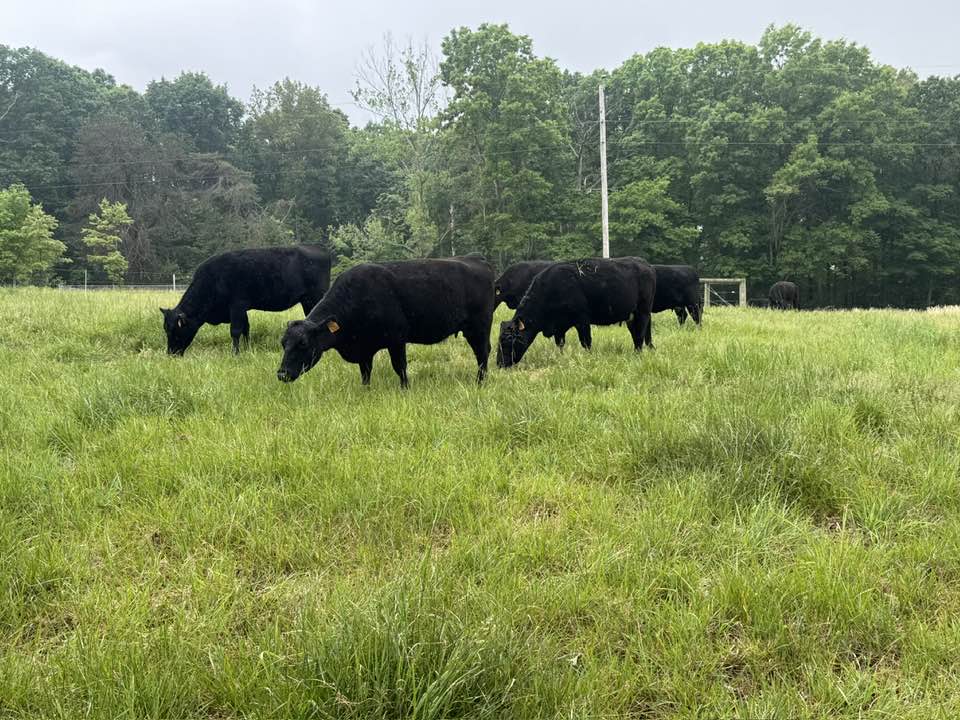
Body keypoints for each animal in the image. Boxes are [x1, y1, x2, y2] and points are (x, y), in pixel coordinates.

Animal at [161, 245, 331, 355]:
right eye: (166, 329)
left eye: (175, 331)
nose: (171, 353)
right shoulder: (242, 309)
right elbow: (246, 328)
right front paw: (248, 349)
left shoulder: (237, 305)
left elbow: (236, 330)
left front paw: (235, 353)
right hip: (307, 300)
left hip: (317, 296)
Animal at [277, 256, 495, 388]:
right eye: (283, 343)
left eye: (303, 343)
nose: (281, 374)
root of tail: (476, 259)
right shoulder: (364, 348)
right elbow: (365, 371)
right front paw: (365, 390)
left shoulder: (396, 338)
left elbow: (400, 367)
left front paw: (405, 389)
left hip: (480, 326)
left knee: (482, 353)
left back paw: (480, 382)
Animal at [496, 257, 656, 368]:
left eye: (508, 340)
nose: (499, 363)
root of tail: (645, 265)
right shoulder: (559, 326)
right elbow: (560, 343)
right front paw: (560, 357)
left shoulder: (582, 320)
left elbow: (586, 342)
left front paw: (589, 357)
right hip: (632, 316)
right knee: (637, 333)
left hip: (642, 311)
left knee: (640, 333)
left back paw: (638, 353)